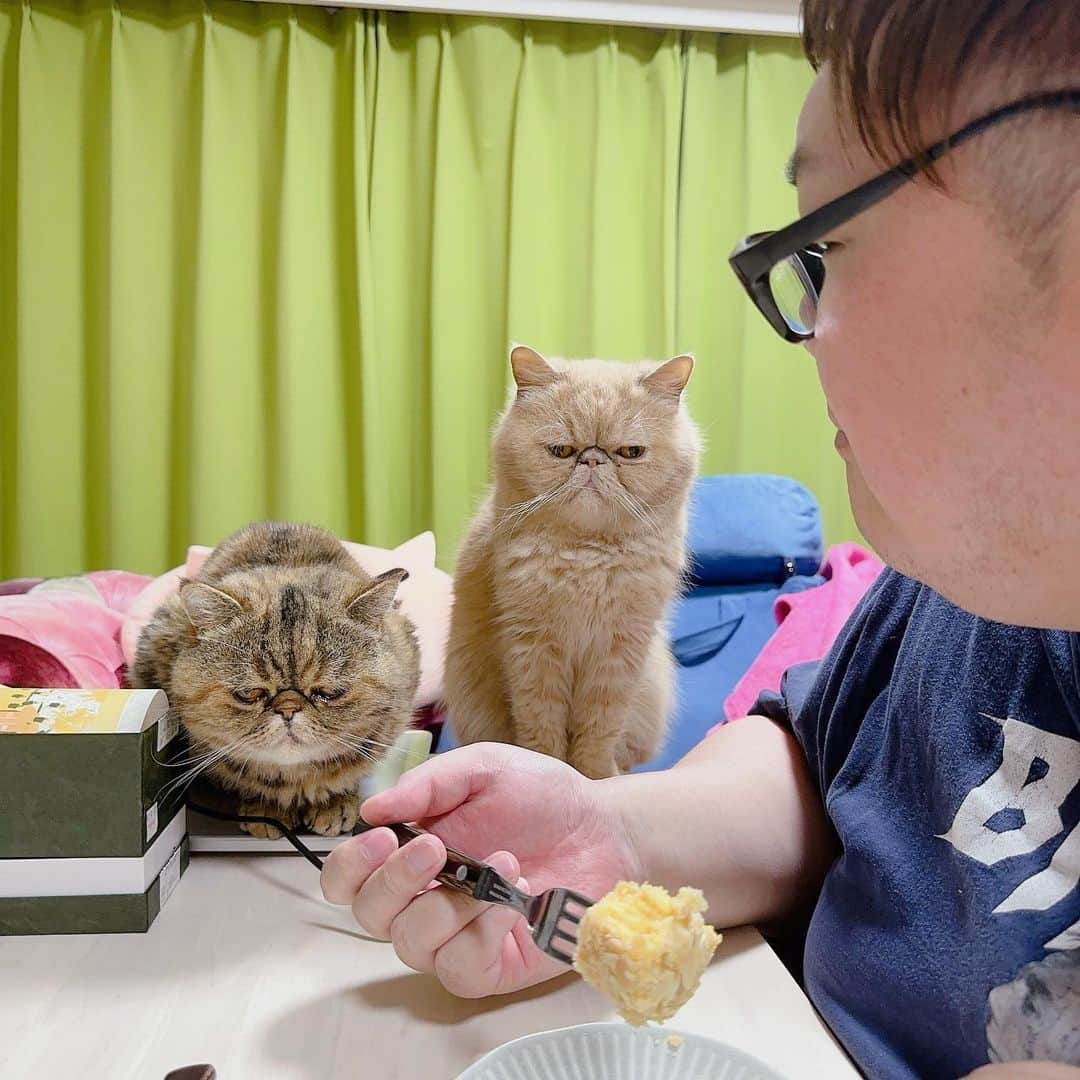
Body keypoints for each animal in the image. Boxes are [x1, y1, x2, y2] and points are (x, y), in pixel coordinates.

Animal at [444, 345, 699, 777]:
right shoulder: (533, 648)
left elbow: (598, 731)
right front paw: (545, 767)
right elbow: (542, 728)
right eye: (562, 450)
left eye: (630, 452)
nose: (592, 460)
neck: (588, 556)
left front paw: (595, 778)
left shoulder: (619, 653)